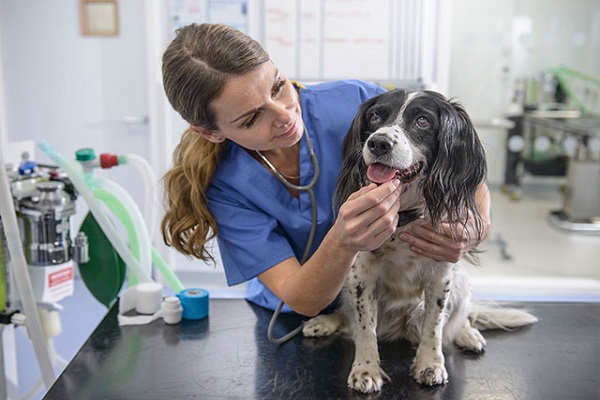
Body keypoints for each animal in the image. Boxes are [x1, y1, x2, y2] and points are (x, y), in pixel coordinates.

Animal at [302, 89, 536, 392]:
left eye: (423, 121)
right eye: (375, 116)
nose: (378, 143)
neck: (404, 215)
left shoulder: (442, 275)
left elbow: (433, 327)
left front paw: (430, 364)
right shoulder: (361, 275)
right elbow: (365, 329)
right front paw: (366, 369)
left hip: (461, 280)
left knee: (462, 317)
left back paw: (468, 335)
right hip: (346, 281)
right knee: (348, 316)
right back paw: (325, 322)